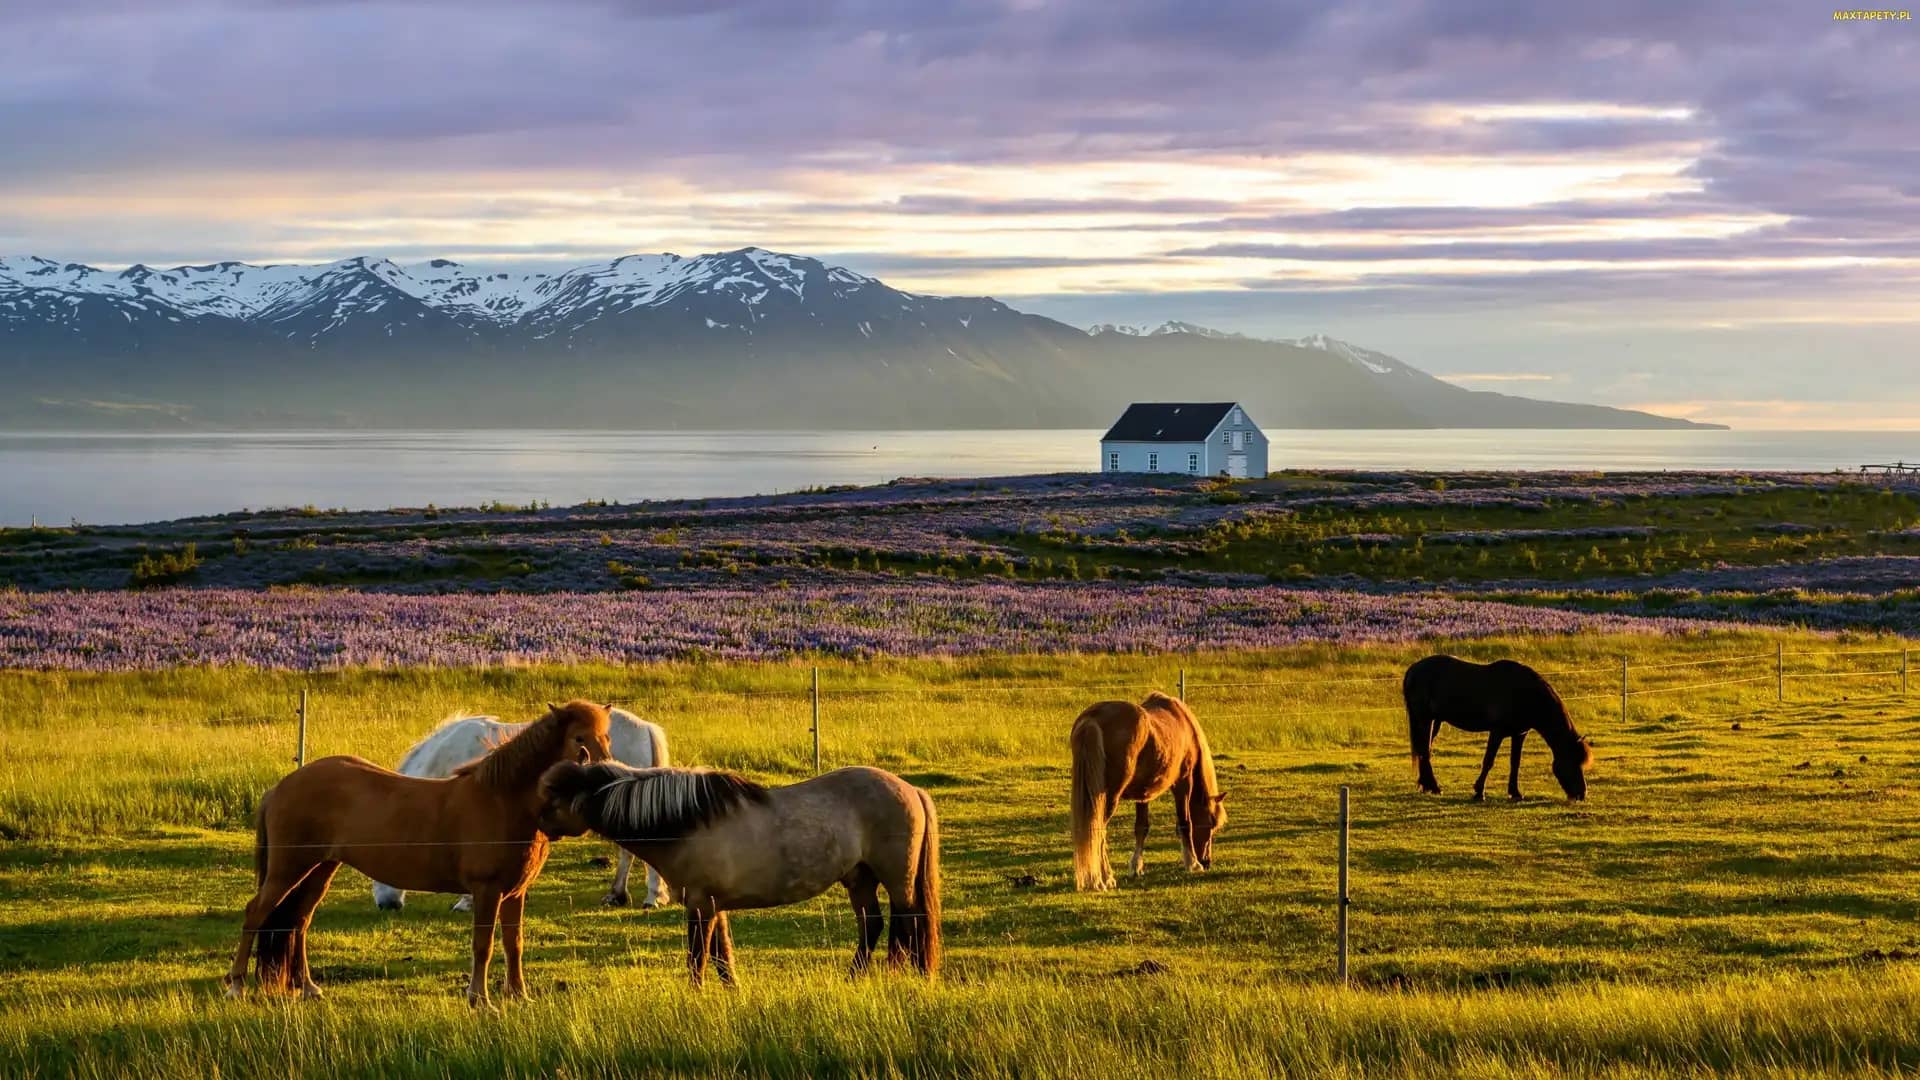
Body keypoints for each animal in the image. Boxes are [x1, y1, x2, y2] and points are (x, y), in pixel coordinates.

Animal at [223, 700, 612, 1007]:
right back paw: (237, 986)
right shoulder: (487, 891)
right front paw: (480, 1000)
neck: (502, 800)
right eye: (580, 738)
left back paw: (308, 988)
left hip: (320, 869)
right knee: (256, 913)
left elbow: (512, 943)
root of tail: (280, 787)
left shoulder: (515, 893)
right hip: (288, 869)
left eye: (606, 738)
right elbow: (483, 945)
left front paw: (519, 996)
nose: (605, 779)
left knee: (299, 922)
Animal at [537, 762, 941, 985]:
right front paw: (733, 993)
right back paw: (854, 978)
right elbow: (721, 956)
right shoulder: (713, 905)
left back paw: (913, 978)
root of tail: (910, 788)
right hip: (859, 878)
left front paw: (696, 996)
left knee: (910, 926)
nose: (537, 826)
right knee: (872, 925)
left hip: (897, 880)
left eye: (554, 799)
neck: (686, 822)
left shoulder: (700, 905)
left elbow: (698, 958)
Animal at [1069, 692, 1225, 892]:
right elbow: (1185, 822)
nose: (1206, 862)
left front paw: (1136, 867)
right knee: (1098, 831)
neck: (1184, 724)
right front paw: (1192, 863)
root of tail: (1092, 718)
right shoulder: (1183, 782)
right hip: (1107, 799)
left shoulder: (1143, 795)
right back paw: (1104, 879)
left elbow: (1141, 827)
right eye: (1211, 824)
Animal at [1403, 655, 1592, 801]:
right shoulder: (1497, 732)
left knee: (1424, 750)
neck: (1525, 693)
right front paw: (1479, 792)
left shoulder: (1519, 734)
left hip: (1434, 721)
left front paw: (1515, 793)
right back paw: (1434, 788)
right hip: (1425, 719)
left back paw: (1426, 786)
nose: (1581, 794)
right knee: (1424, 751)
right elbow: (1488, 761)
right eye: (1572, 761)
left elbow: (1515, 763)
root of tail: (1413, 669)